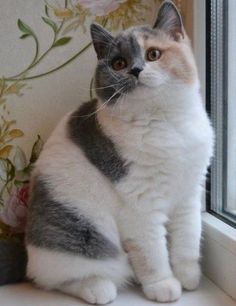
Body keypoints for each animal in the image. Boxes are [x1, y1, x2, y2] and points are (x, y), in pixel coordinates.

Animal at [23, 0, 214, 304]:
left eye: (153, 54)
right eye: (119, 63)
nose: (135, 69)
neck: (164, 121)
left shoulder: (189, 192)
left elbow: (188, 236)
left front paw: (188, 275)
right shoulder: (140, 206)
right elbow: (152, 252)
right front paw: (163, 284)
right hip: (84, 234)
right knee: (58, 278)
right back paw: (98, 287)